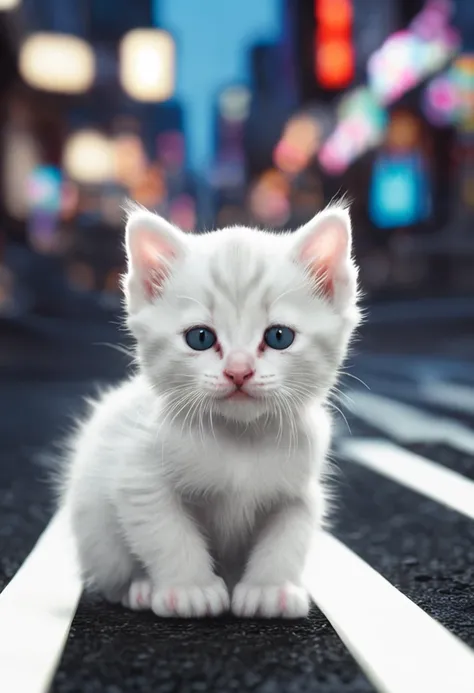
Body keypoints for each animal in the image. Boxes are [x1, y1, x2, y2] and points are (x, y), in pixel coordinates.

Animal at [60, 203, 360, 620]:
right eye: (200, 338)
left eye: (278, 336)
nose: (238, 371)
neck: (240, 438)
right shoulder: (139, 480)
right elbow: (167, 534)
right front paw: (190, 590)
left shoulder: (299, 489)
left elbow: (288, 535)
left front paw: (271, 590)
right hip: (96, 533)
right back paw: (140, 588)